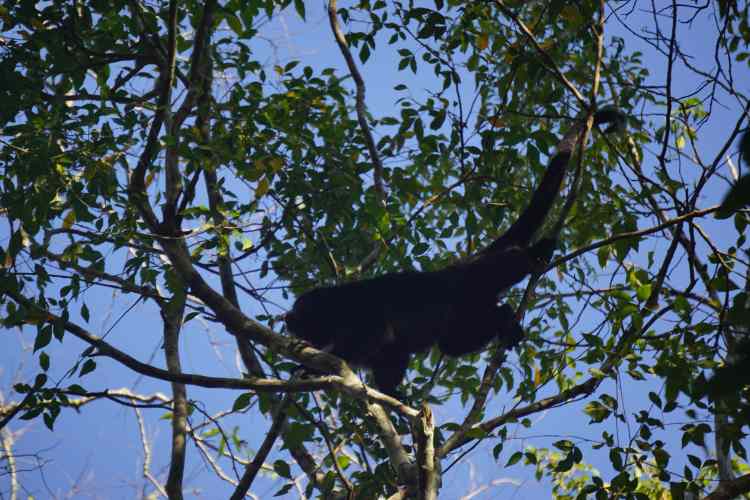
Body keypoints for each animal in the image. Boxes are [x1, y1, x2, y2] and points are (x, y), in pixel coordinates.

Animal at [285, 108, 625, 396]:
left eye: (301, 308)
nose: (287, 316)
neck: (335, 306)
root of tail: (453, 269)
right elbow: (391, 354)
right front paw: (391, 394)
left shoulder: (361, 314)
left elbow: (371, 340)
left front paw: (310, 367)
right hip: (467, 309)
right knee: (455, 343)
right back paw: (505, 320)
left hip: (476, 278)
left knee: (509, 264)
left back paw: (536, 254)